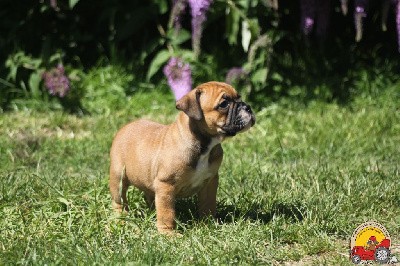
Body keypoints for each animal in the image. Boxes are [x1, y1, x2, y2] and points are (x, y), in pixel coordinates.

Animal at [109, 81, 255, 233]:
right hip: (118, 176)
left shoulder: (210, 182)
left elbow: (208, 204)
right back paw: (121, 219)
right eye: (224, 104)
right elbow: (167, 212)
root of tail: (125, 127)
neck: (205, 145)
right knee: (119, 200)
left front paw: (208, 223)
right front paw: (167, 232)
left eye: (239, 97)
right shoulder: (165, 185)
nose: (248, 107)